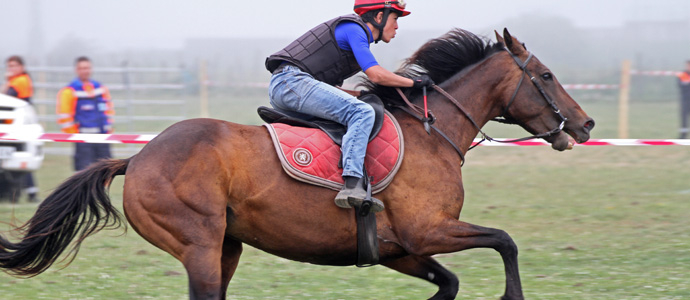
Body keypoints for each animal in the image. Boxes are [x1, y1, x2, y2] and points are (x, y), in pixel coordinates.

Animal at [0, 29, 592, 300]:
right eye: (544, 75)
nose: (585, 125)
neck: (433, 134)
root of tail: (139, 155)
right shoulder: (429, 230)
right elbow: (505, 241)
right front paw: (513, 294)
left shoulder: (401, 249)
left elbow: (448, 282)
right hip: (198, 244)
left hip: (226, 247)